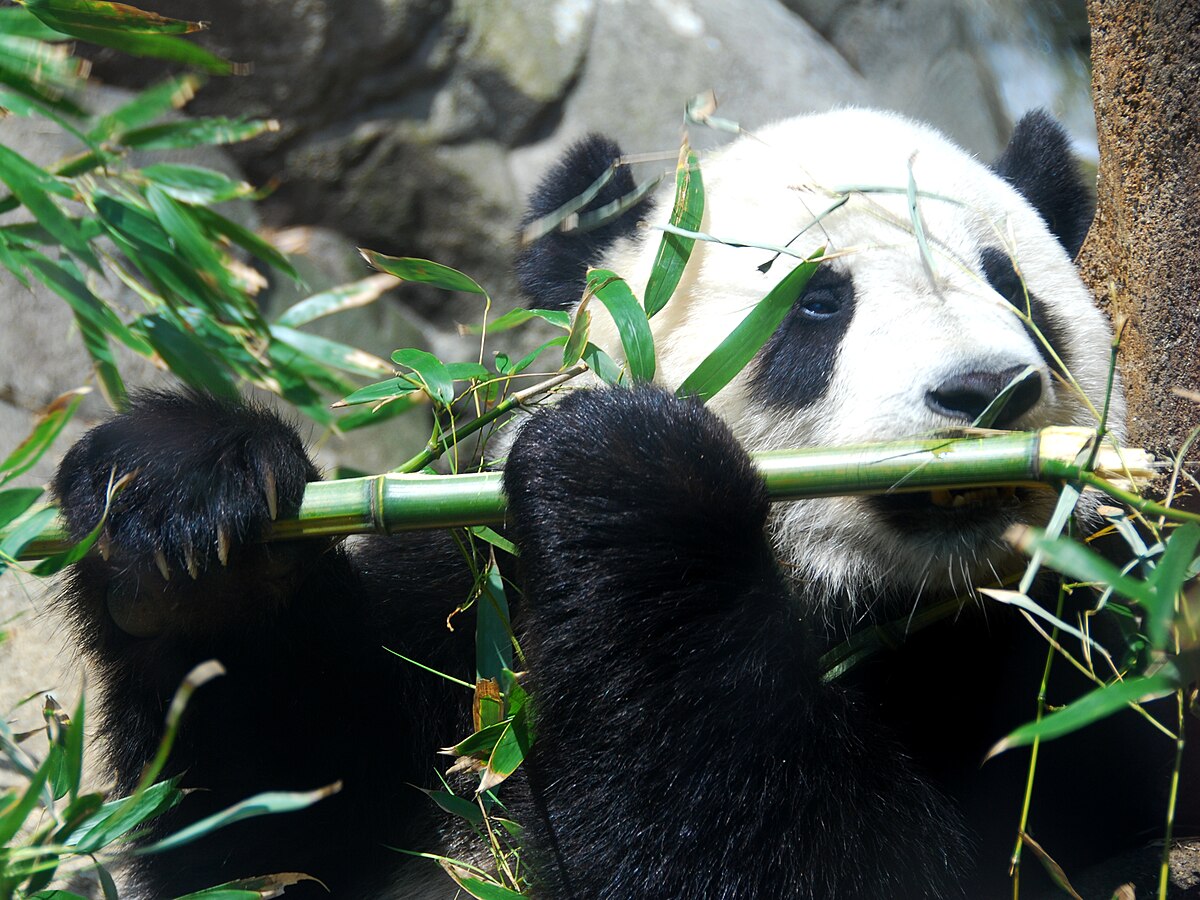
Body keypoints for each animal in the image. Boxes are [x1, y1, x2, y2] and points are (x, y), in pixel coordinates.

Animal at [49, 109, 1190, 897]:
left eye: (1017, 293)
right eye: (818, 304)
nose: (986, 393)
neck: (865, 606)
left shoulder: (1096, 658)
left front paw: (635, 483)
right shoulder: (469, 621)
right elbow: (279, 825)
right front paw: (187, 520)